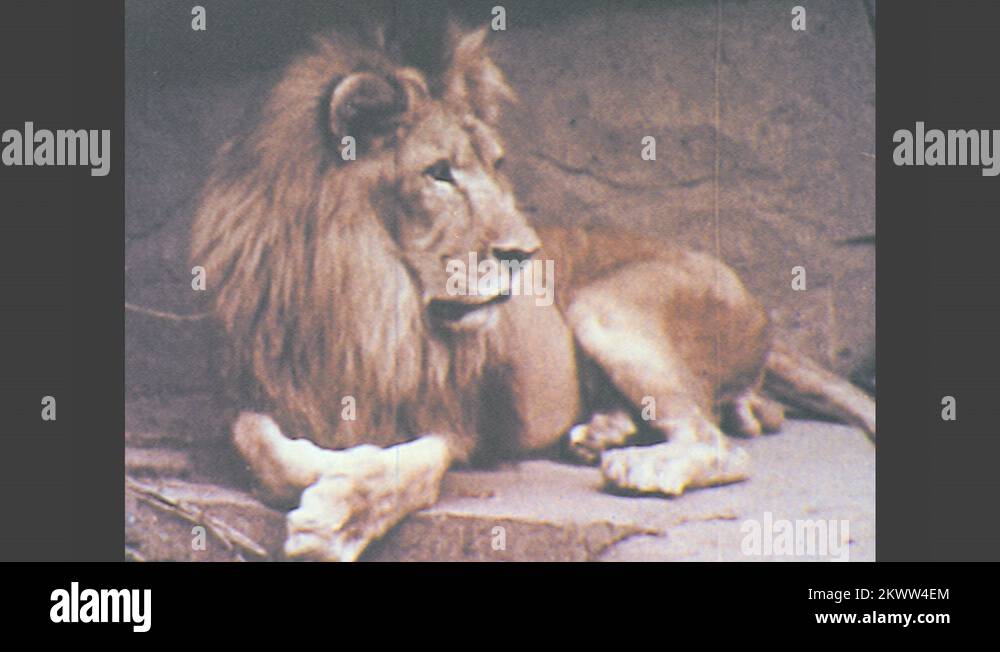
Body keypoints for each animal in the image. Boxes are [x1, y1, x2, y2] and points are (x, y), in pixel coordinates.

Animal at [191, 25, 875, 561]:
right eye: (438, 173)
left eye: (497, 164)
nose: (525, 253)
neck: (365, 295)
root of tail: (755, 301)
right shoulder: (247, 388)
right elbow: (258, 442)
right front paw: (326, 465)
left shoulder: (456, 419)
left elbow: (412, 470)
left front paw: (340, 510)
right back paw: (603, 431)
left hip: (604, 304)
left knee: (721, 442)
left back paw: (642, 461)